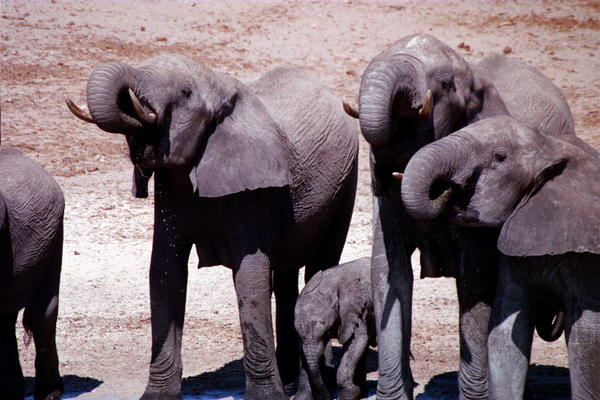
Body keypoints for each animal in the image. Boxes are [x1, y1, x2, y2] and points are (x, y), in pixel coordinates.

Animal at [66, 54, 358, 400]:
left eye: (185, 92)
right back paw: (289, 381)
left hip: (346, 180)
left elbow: (250, 276)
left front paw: (264, 398)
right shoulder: (172, 185)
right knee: (286, 277)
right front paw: (157, 397)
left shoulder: (254, 186)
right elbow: (165, 270)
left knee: (321, 264)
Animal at [294, 256, 376, 400]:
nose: (328, 397)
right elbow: (302, 355)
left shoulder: (356, 309)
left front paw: (349, 394)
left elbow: (356, 342)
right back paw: (362, 392)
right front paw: (302, 397)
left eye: (325, 331)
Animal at [398, 115, 600, 400]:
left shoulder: (586, 255)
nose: (447, 190)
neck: (550, 146)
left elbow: (586, 337)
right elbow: (505, 330)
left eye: (499, 157)